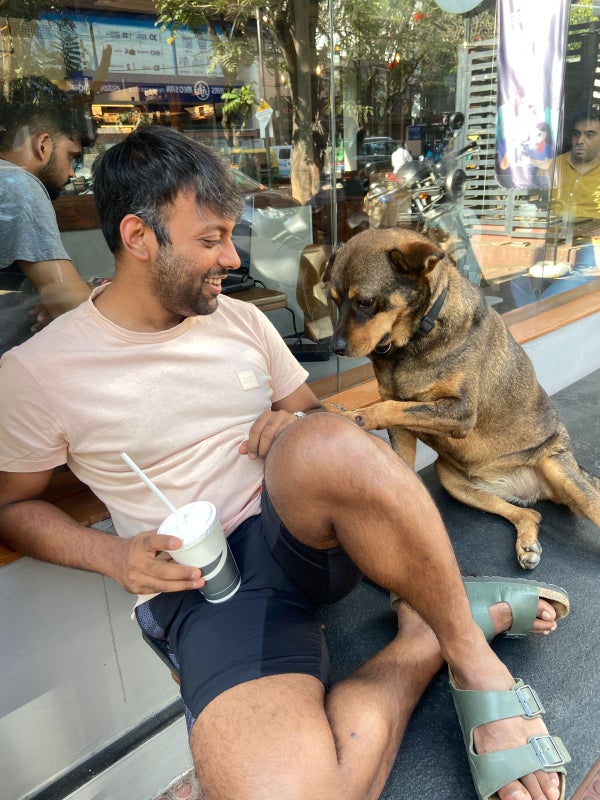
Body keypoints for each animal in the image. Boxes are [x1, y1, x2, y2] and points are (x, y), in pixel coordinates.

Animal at [324, 227, 600, 569]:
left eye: (365, 301)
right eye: (334, 301)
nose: (334, 348)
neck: (415, 339)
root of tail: (537, 491)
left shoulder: (460, 412)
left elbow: (388, 406)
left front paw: (353, 415)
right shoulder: (403, 428)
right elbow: (397, 427)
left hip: (563, 474)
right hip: (452, 480)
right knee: (530, 514)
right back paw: (527, 543)